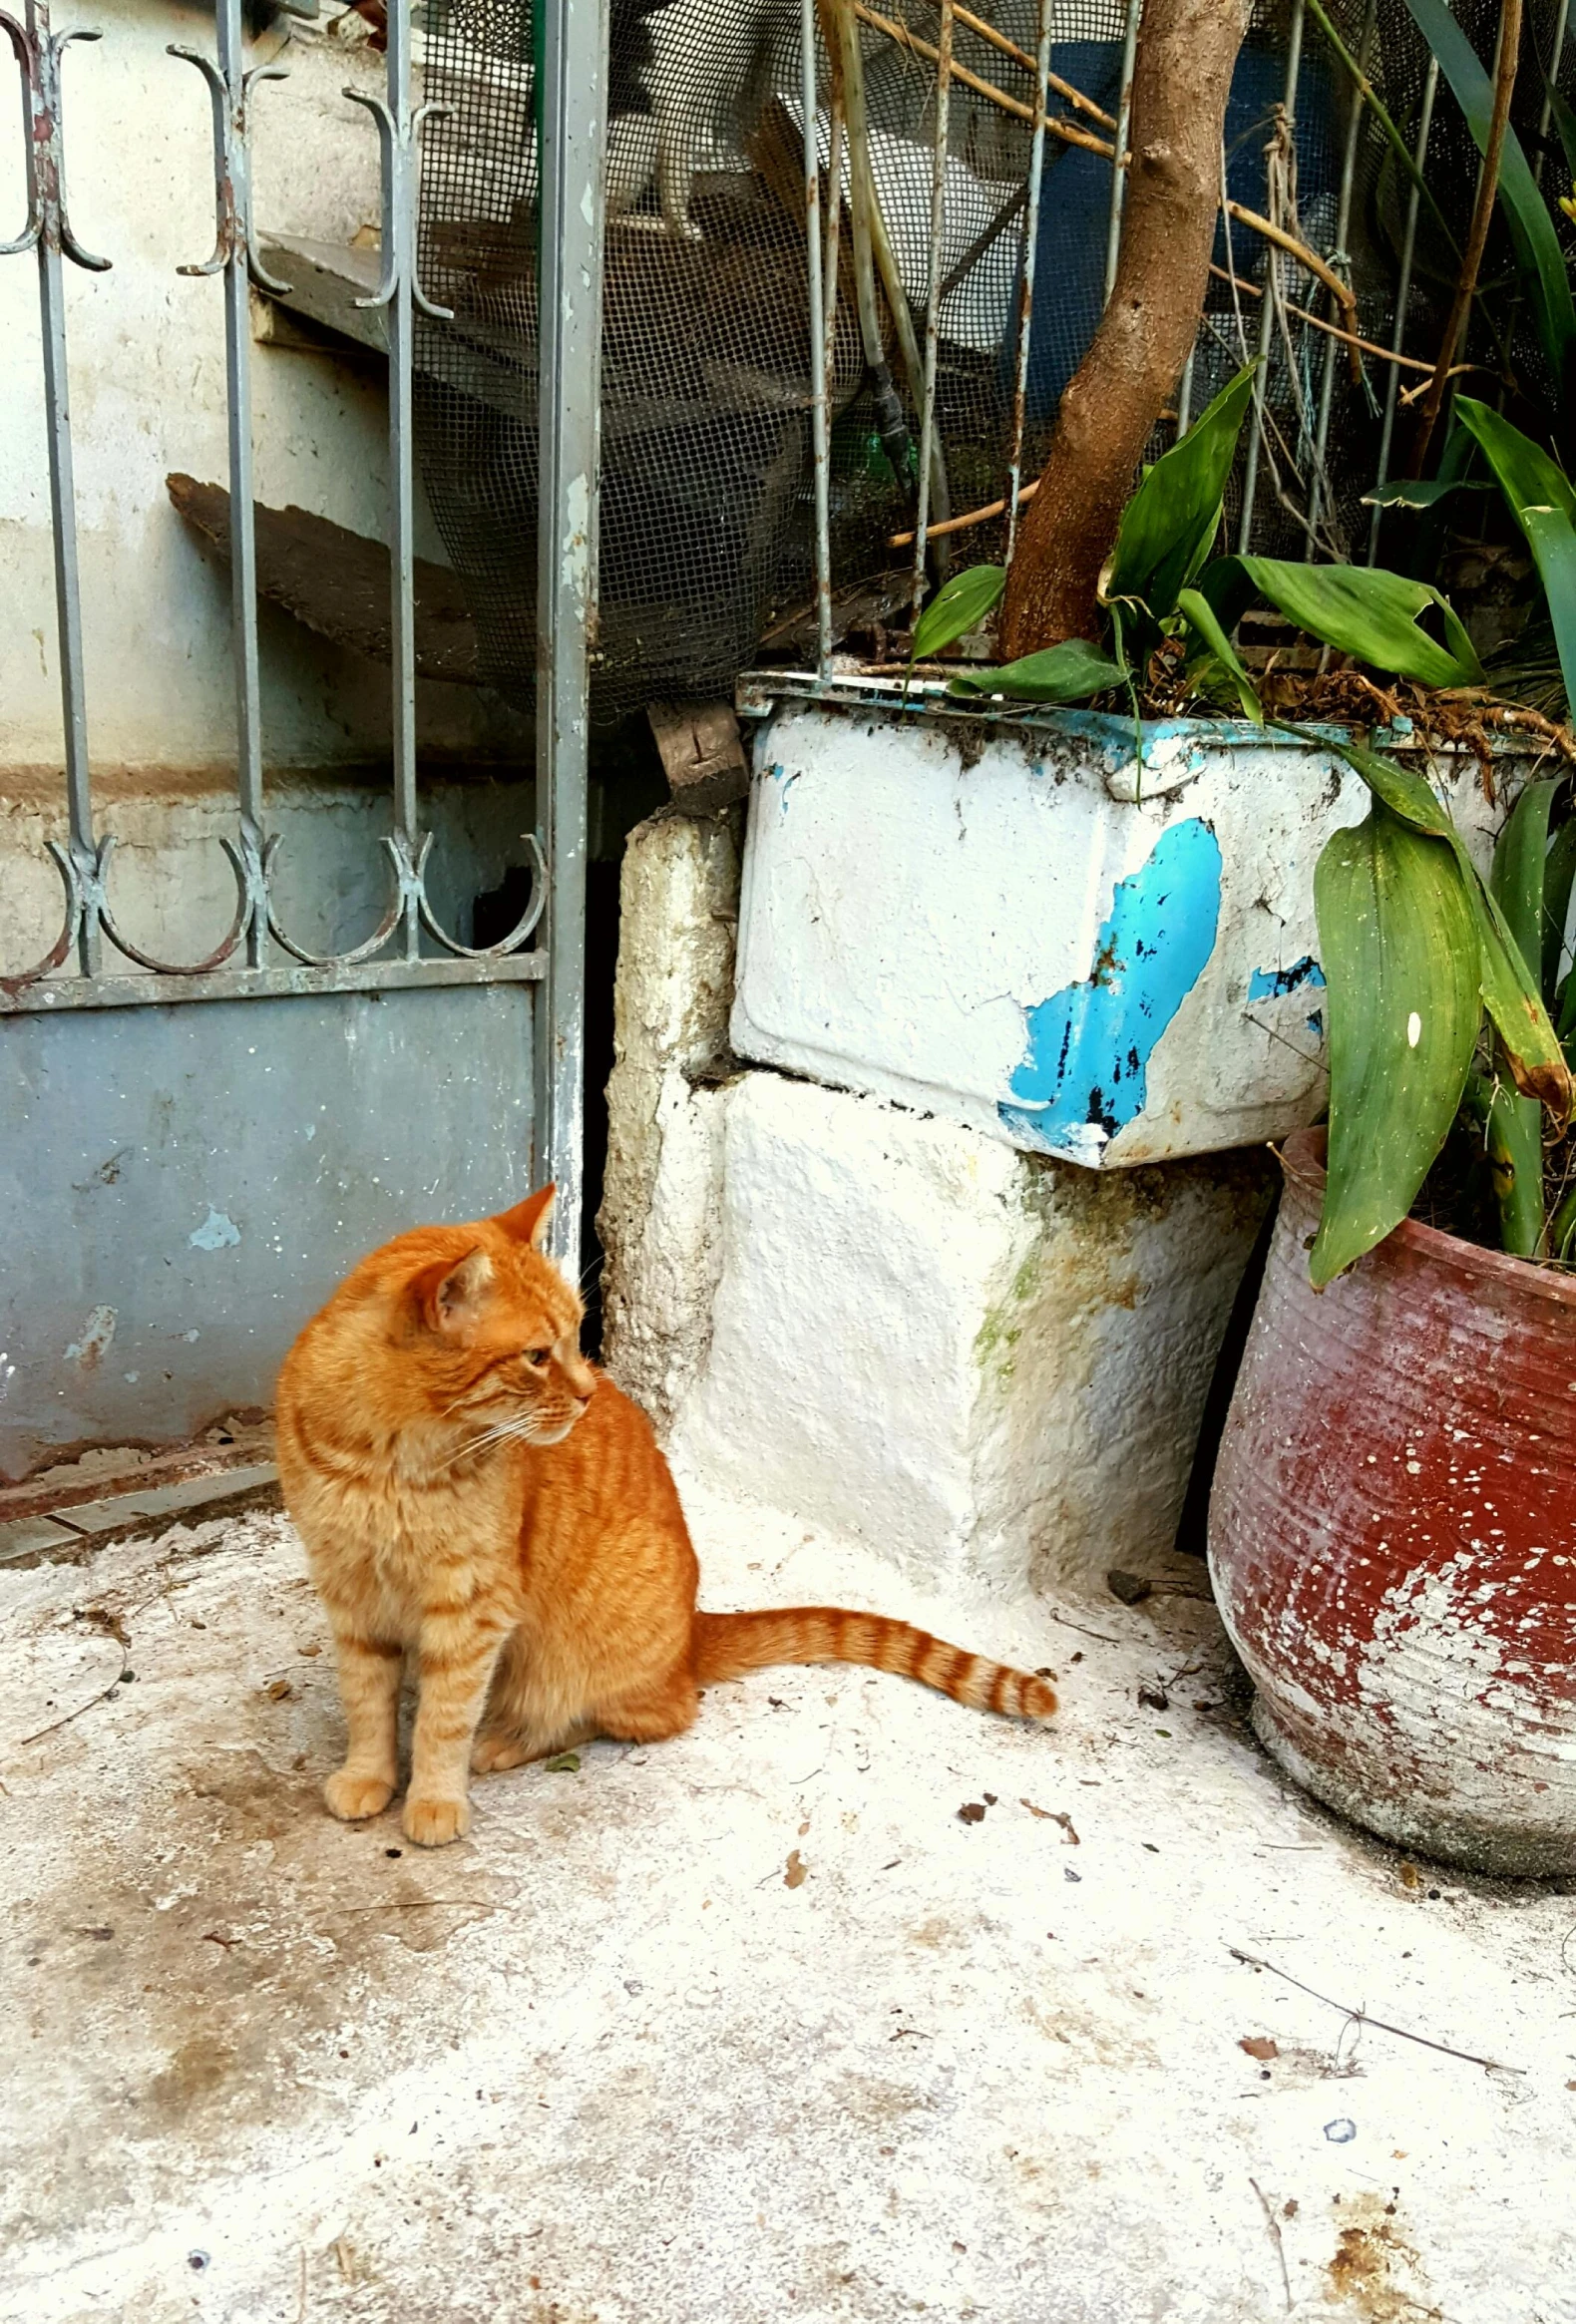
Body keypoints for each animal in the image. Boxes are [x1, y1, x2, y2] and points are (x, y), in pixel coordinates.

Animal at [277, 1189, 1059, 1840]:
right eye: (537, 1356)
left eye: (577, 1336)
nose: (589, 1392)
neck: (390, 1459)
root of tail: (693, 1629)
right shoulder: (350, 1594)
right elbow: (367, 1703)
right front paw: (369, 1776)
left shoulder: (470, 1611)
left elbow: (443, 1719)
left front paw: (435, 1799)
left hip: (573, 1655)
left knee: (639, 1715)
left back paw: (505, 1739)